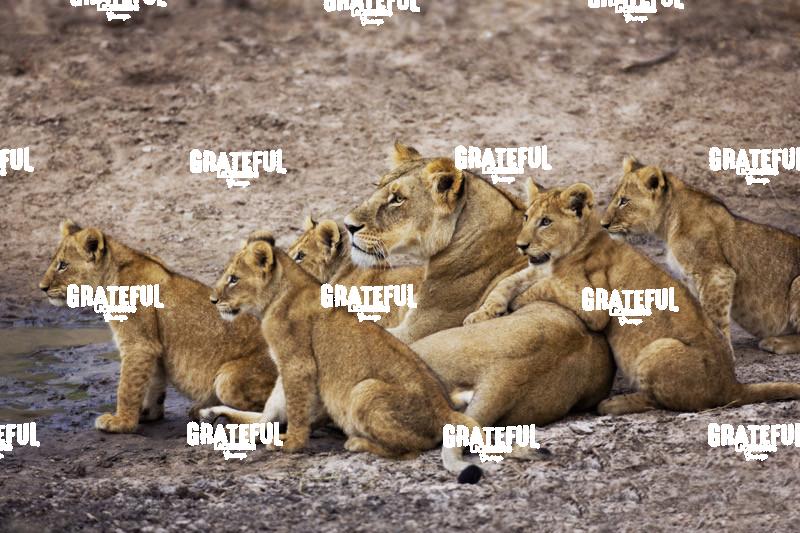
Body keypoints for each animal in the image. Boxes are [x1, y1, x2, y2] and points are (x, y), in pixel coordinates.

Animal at [38, 220, 278, 433]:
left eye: (63, 265)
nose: (42, 288)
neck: (109, 279)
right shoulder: (154, 346)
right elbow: (152, 381)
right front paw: (147, 413)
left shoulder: (138, 344)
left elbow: (127, 387)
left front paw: (121, 422)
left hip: (228, 378)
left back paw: (214, 415)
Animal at [206, 231, 486, 483]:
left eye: (233, 279)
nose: (213, 300)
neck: (275, 299)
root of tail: (446, 410)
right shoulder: (288, 367)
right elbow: (274, 406)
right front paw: (252, 433)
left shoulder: (298, 364)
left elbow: (295, 407)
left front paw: (291, 443)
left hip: (364, 389)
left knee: (411, 450)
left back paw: (357, 442)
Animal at [466, 179, 800, 414]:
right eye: (526, 217)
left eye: (546, 221)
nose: (520, 246)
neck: (565, 252)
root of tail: (733, 385)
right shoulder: (538, 269)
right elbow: (508, 282)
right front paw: (481, 314)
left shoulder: (594, 303)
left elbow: (543, 288)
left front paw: (513, 305)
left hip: (659, 348)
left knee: (663, 402)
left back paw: (614, 404)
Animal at [601, 156, 800, 355]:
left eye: (624, 201)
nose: (603, 224)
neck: (668, 224)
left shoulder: (716, 273)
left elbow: (714, 317)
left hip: (797, 282)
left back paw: (775, 342)